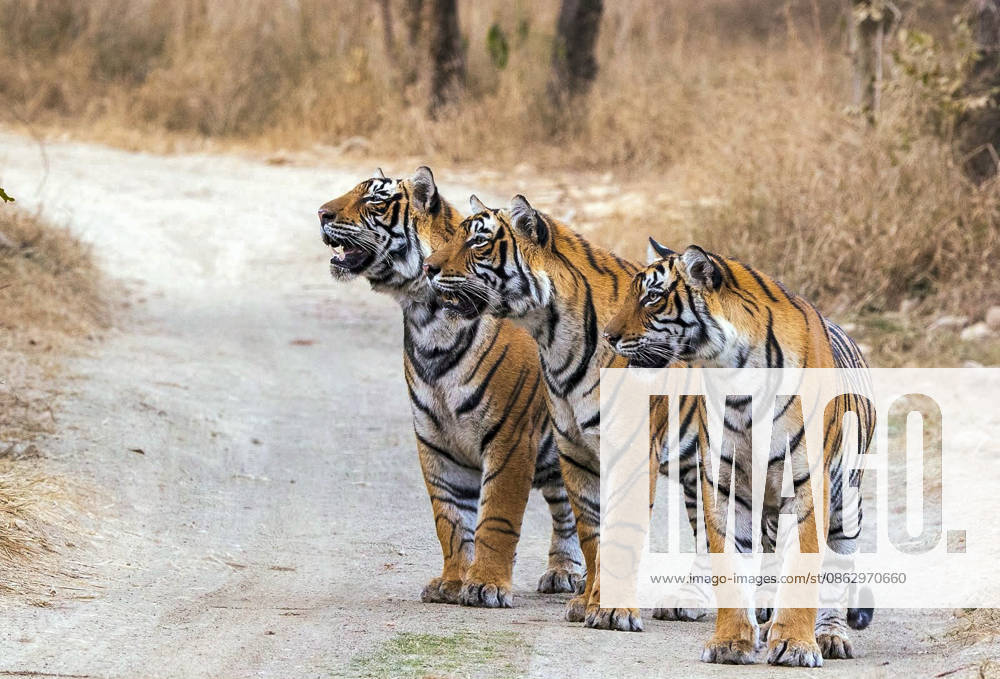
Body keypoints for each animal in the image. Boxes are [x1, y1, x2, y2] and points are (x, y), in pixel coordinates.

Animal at [317, 168, 584, 608]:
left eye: (374, 201)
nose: (321, 213)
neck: (426, 317)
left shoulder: (511, 437)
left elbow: (496, 517)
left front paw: (486, 585)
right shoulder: (435, 439)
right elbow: (452, 520)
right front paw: (453, 583)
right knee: (568, 508)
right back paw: (565, 573)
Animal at [424, 193, 668, 631]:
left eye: (479, 242)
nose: (428, 268)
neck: (555, 337)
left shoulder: (633, 451)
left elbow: (621, 531)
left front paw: (613, 611)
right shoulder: (577, 449)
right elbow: (592, 532)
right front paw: (588, 604)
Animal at [603, 238, 876, 666]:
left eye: (653, 297)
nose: (607, 337)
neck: (735, 376)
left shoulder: (806, 486)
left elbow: (804, 569)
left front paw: (796, 645)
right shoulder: (726, 485)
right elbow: (731, 569)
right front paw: (731, 643)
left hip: (845, 503)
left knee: (835, 570)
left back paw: (829, 635)